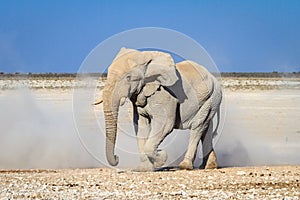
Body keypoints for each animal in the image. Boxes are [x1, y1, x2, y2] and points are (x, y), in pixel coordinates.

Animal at [94, 47, 223, 170]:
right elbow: (141, 126)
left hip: (211, 98)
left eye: (128, 77)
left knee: (197, 127)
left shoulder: (165, 95)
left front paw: (162, 158)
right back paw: (209, 166)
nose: (117, 158)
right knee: (206, 128)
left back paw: (185, 165)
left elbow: (165, 125)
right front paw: (144, 168)